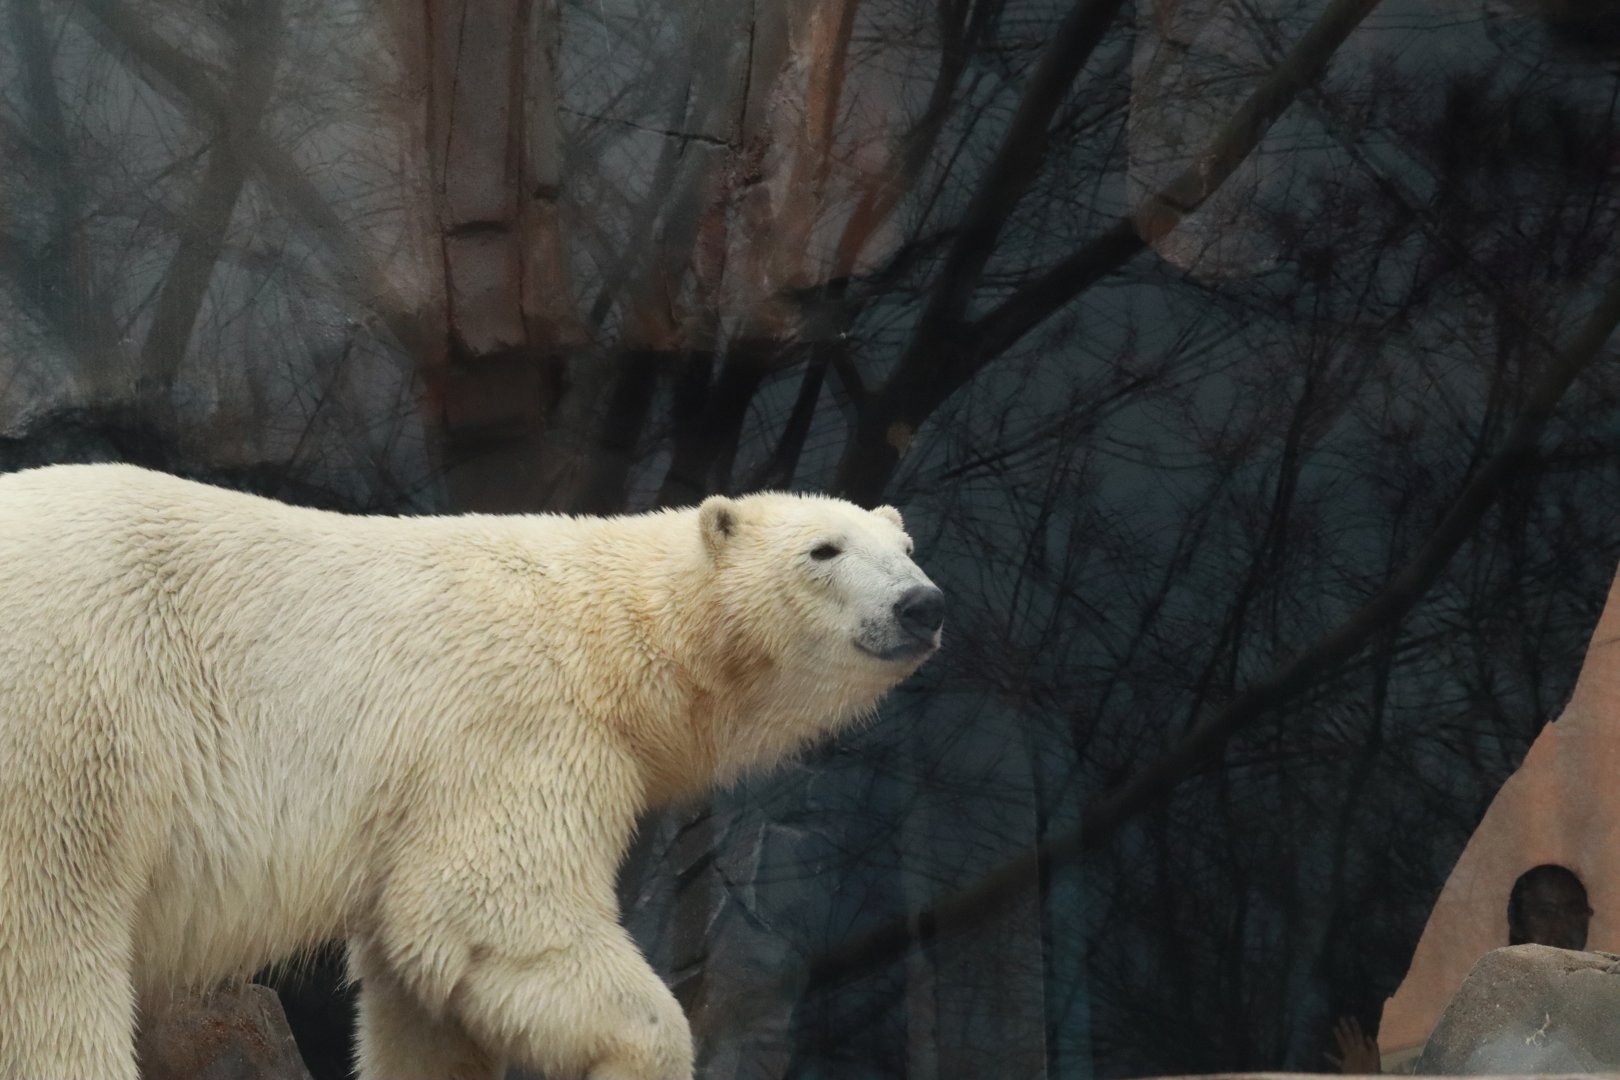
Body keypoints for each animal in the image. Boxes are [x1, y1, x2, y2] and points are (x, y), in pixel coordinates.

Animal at [0, 463, 944, 1080]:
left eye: (905, 544)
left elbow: (423, 988)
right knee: (49, 947)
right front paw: (644, 1052)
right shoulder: (513, 728)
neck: (609, 636)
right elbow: (496, 916)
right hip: (69, 718)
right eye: (824, 549)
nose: (922, 604)